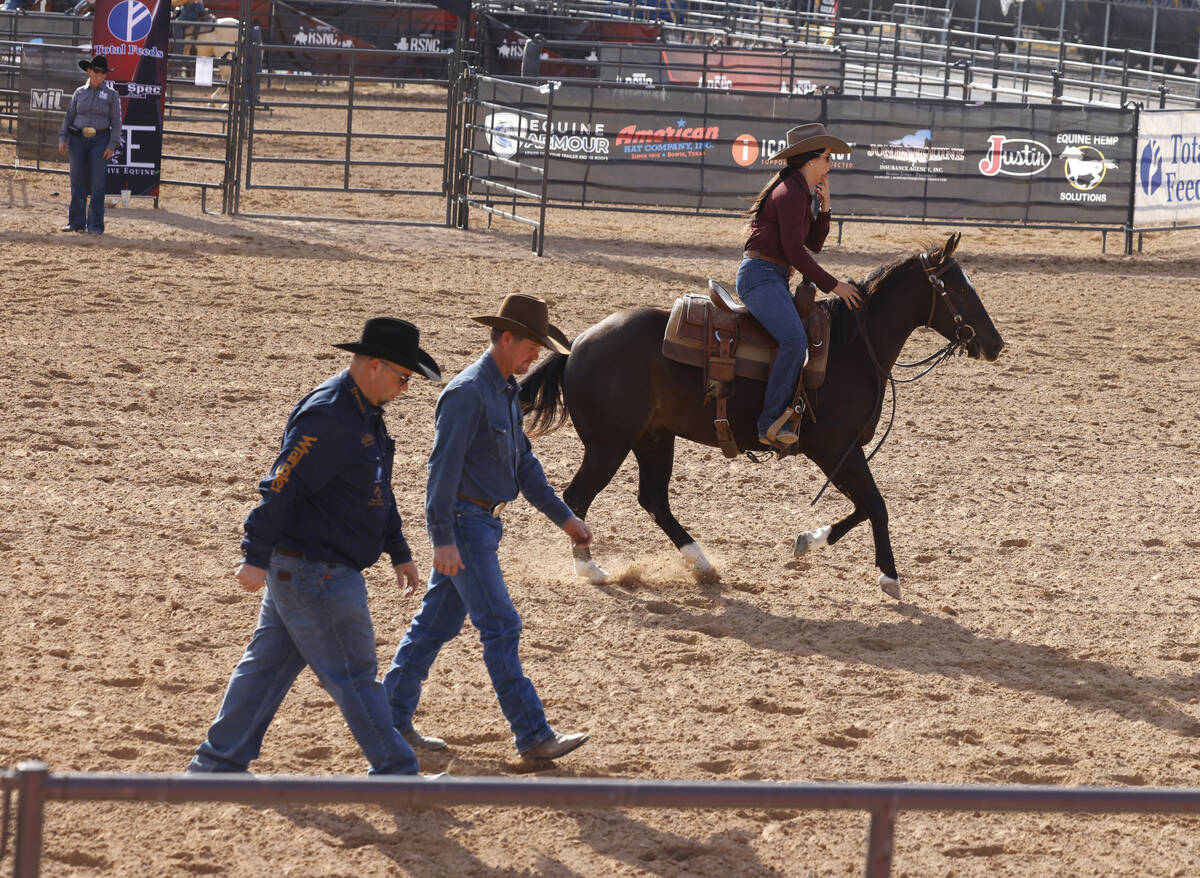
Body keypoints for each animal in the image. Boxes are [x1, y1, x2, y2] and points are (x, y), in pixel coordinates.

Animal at [523, 232, 1003, 599]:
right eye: (960, 289)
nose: (996, 344)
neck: (851, 347)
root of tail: (575, 348)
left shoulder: (841, 452)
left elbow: (863, 506)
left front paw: (809, 540)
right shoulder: (834, 449)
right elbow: (876, 505)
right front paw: (889, 576)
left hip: (653, 437)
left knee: (653, 499)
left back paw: (702, 564)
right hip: (609, 444)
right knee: (577, 496)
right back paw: (589, 569)